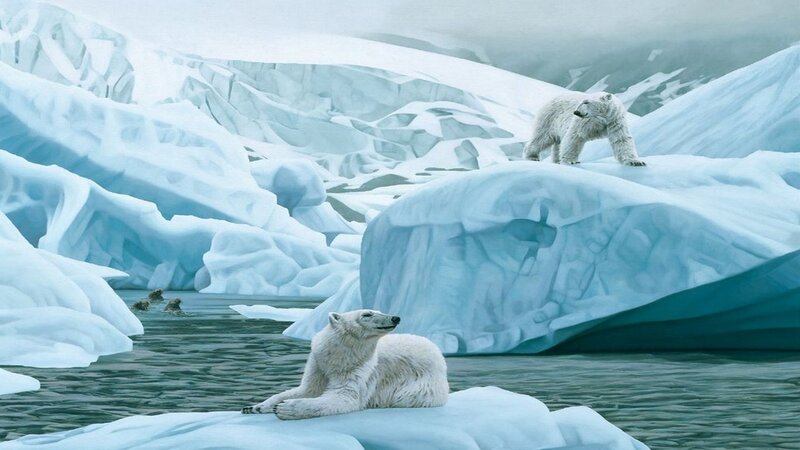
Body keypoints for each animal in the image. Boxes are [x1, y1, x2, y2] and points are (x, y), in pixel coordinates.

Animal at [241, 309, 449, 420]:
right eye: (367, 313)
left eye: (379, 310)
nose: (395, 317)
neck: (338, 358)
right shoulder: (318, 364)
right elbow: (307, 389)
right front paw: (255, 407)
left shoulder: (358, 368)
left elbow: (344, 397)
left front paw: (286, 408)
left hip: (422, 384)